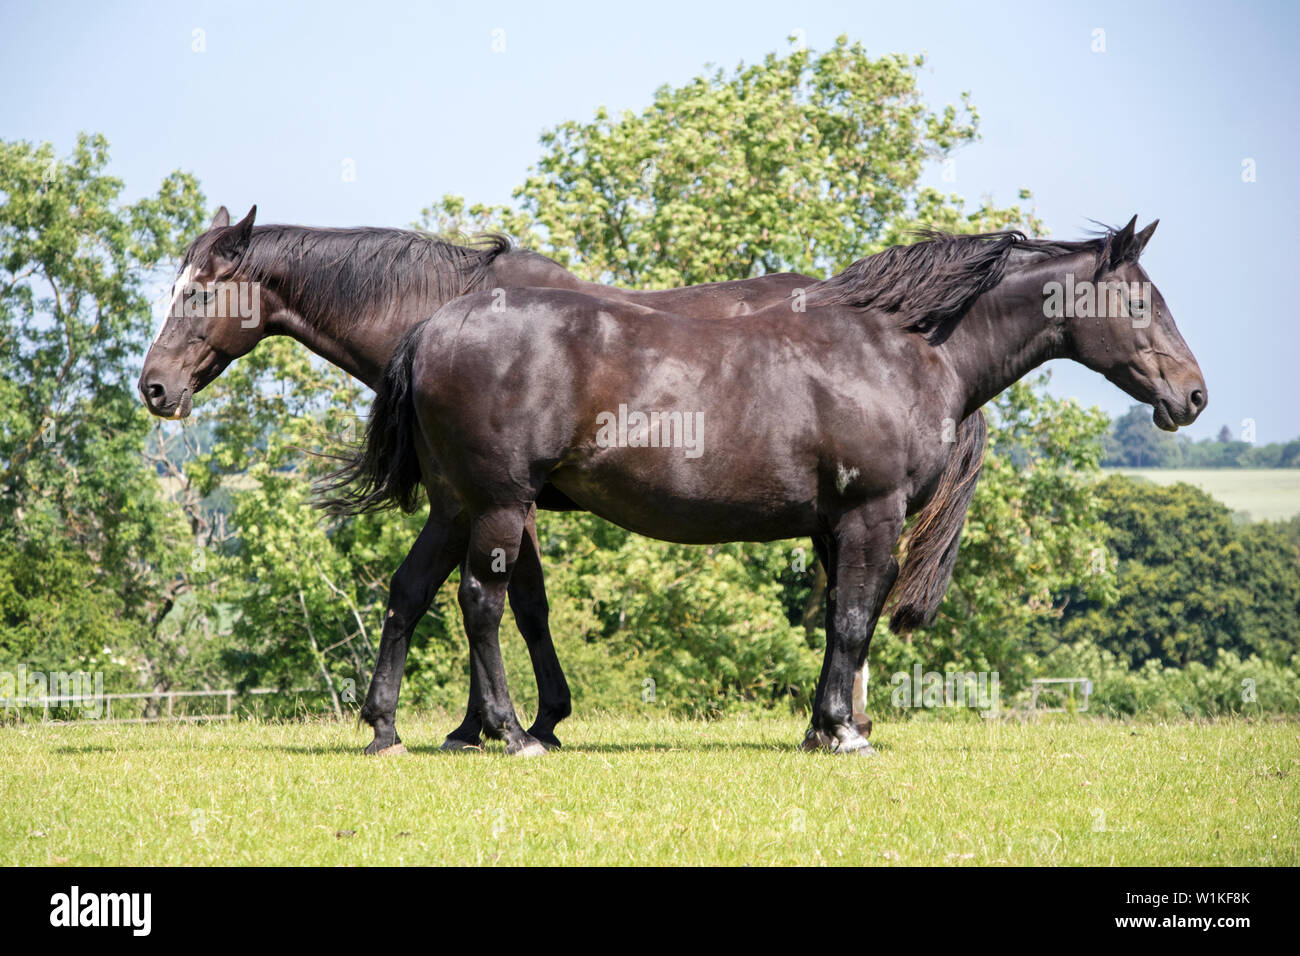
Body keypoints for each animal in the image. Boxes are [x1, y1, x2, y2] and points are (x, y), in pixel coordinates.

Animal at [137, 208, 982, 754]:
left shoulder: (507, 504)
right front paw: (495, 723)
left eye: (200, 291)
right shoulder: (481, 502)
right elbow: (501, 602)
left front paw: (506, 724)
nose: (153, 387)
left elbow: (517, 605)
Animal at [335, 217, 1206, 754]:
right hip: (498, 506)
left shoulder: (832, 525)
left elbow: (840, 622)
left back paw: (386, 729)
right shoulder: (871, 515)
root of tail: (435, 327)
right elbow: (853, 621)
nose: (1193, 395)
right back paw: (512, 733)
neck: (897, 346)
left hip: (456, 505)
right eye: (1138, 300)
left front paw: (823, 726)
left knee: (410, 592)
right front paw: (844, 733)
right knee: (481, 603)